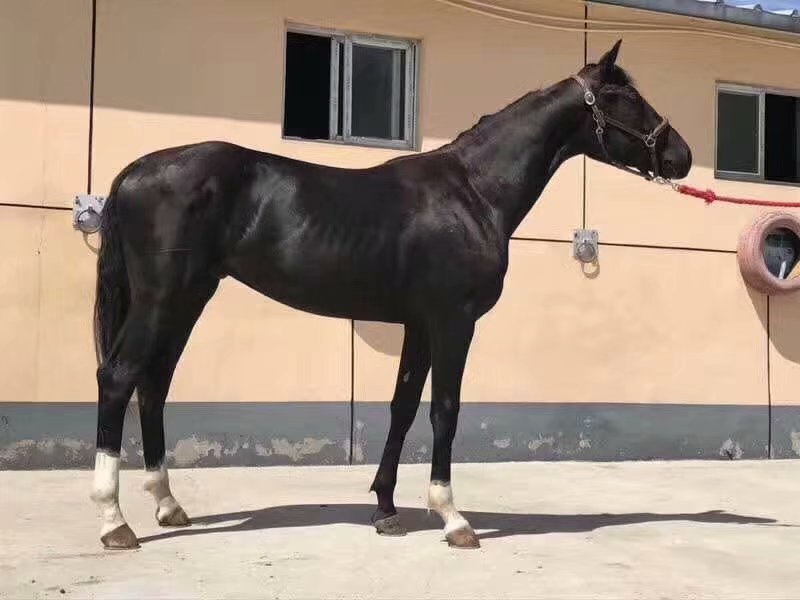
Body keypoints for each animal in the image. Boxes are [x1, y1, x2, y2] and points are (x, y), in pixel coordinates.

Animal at [90, 39, 691, 550]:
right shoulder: (453, 321)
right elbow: (445, 410)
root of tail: (134, 172)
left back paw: (168, 506)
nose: (681, 157)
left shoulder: (419, 324)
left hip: (188, 298)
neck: (473, 192)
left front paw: (386, 510)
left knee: (154, 382)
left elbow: (403, 407)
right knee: (119, 378)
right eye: (626, 98)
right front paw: (453, 518)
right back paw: (114, 522)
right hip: (162, 298)